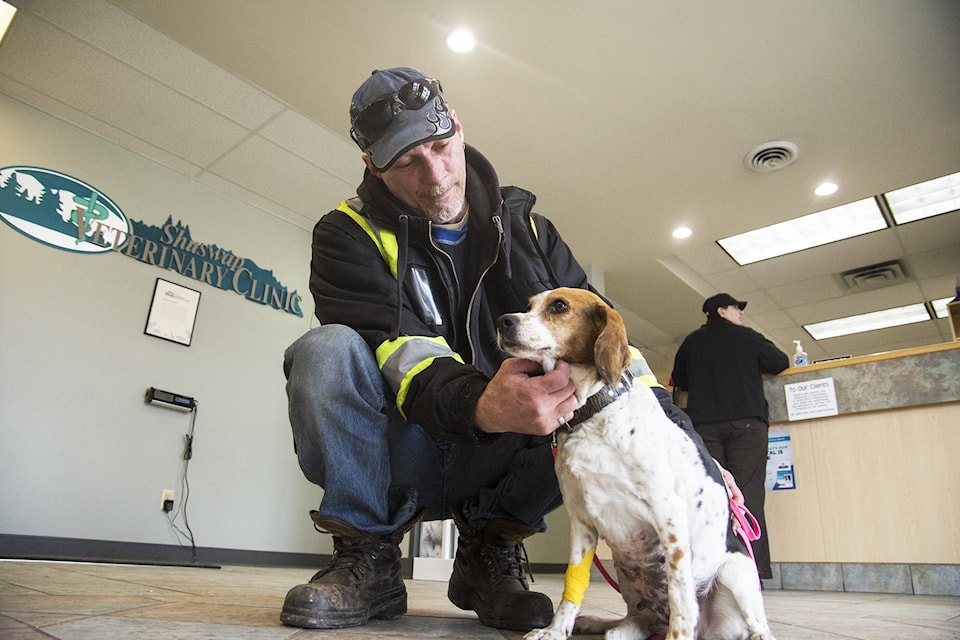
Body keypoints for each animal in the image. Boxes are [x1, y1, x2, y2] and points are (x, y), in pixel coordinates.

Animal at [498, 288, 776, 640]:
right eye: (529, 305)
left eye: (559, 306)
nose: (503, 321)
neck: (594, 411)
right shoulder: (581, 524)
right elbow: (573, 585)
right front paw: (555, 630)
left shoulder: (669, 516)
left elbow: (681, 596)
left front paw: (677, 635)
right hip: (626, 575)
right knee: (637, 619)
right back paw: (602, 624)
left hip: (735, 574)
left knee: (755, 623)